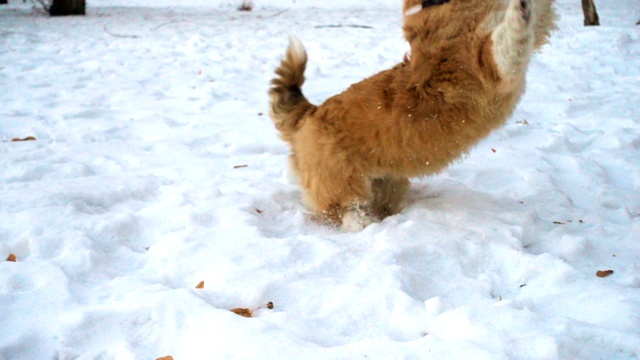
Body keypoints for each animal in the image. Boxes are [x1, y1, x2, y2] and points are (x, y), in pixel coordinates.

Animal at [268, 0, 556, 231]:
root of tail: (307, 114)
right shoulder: (488, 61)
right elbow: (512, 37)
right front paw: (520, 9)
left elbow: (538, 19)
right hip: (342, 182)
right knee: (347, 210)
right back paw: (364, 224)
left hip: (389, 185)